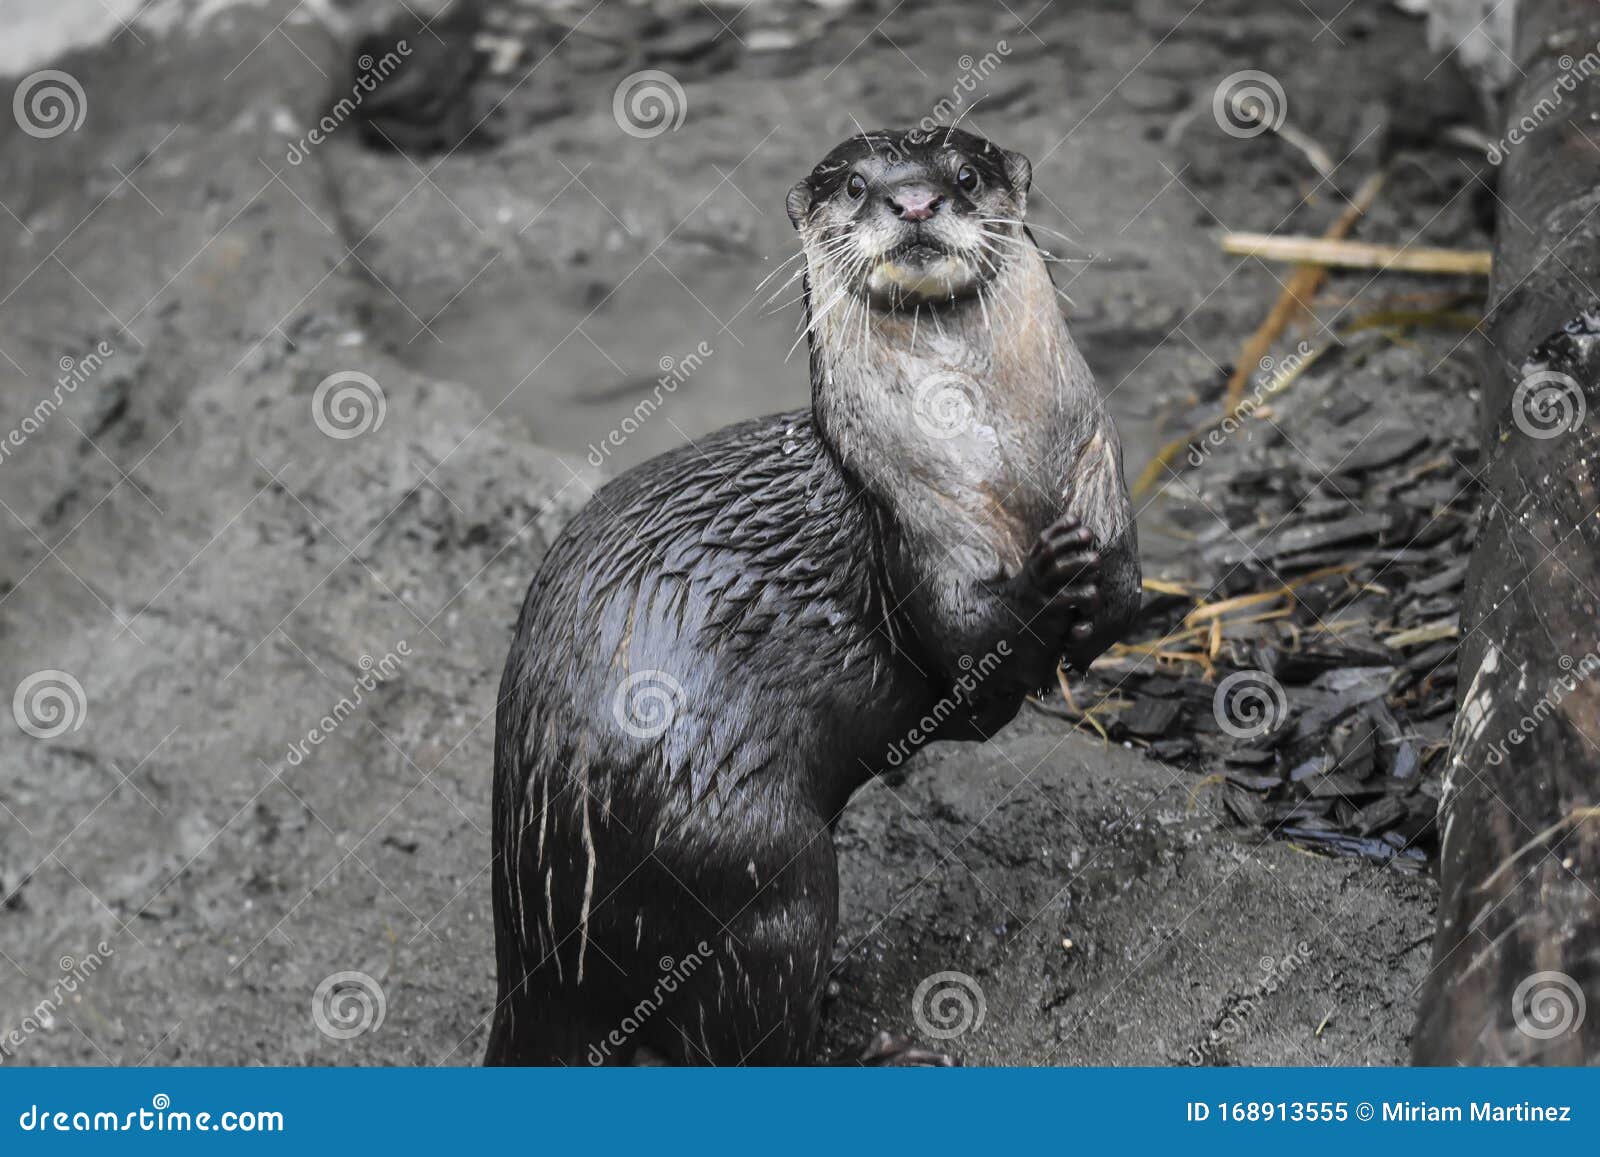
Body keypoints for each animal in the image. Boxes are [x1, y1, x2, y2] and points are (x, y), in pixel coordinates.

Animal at [483, 128, 1139, 1068]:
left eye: (965, 174)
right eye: (858, 185)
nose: (913, 201)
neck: (1008, 466)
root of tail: (536, 954)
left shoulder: (1098, 466)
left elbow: (1125, 588)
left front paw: (1101, 600)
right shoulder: (923, 539)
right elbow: (975, 657)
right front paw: (1047, 582)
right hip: (762, 877)